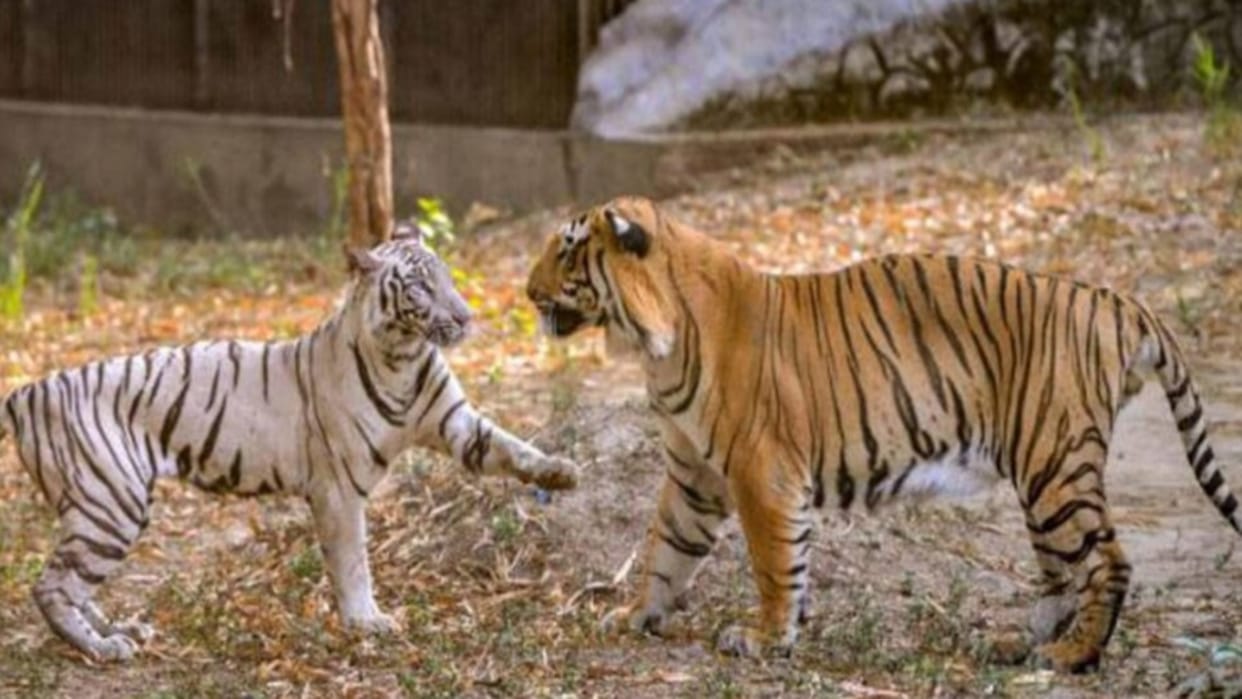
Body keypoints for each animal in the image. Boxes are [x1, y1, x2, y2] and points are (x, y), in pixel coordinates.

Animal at [0, 223, 579, 662]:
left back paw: (120, 630)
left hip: (107, 509)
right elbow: (352, 560)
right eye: (418, 287)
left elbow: (509, 446)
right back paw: (103, 649)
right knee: (52, 587)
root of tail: (28, 391)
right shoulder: (339, 487)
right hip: (111, 503)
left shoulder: (455, 421)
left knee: (75, 584)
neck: (405, 356)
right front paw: (367, 621)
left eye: (448, 276)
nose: (464, 316)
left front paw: (559, 471)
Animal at [524, 195, 1241, 673]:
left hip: (1054, 464)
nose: (526, 292)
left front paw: (765, 639)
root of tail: (1113, 298)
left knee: (1108, 562)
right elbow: (666, 549)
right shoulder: (695, 476)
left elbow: (774, 564)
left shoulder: (762, 473)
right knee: (1062, 573)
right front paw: (636, 616)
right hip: (1044, 477)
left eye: (568, 246)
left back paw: (1071, 656)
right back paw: (1015, 644)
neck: (656, 343)